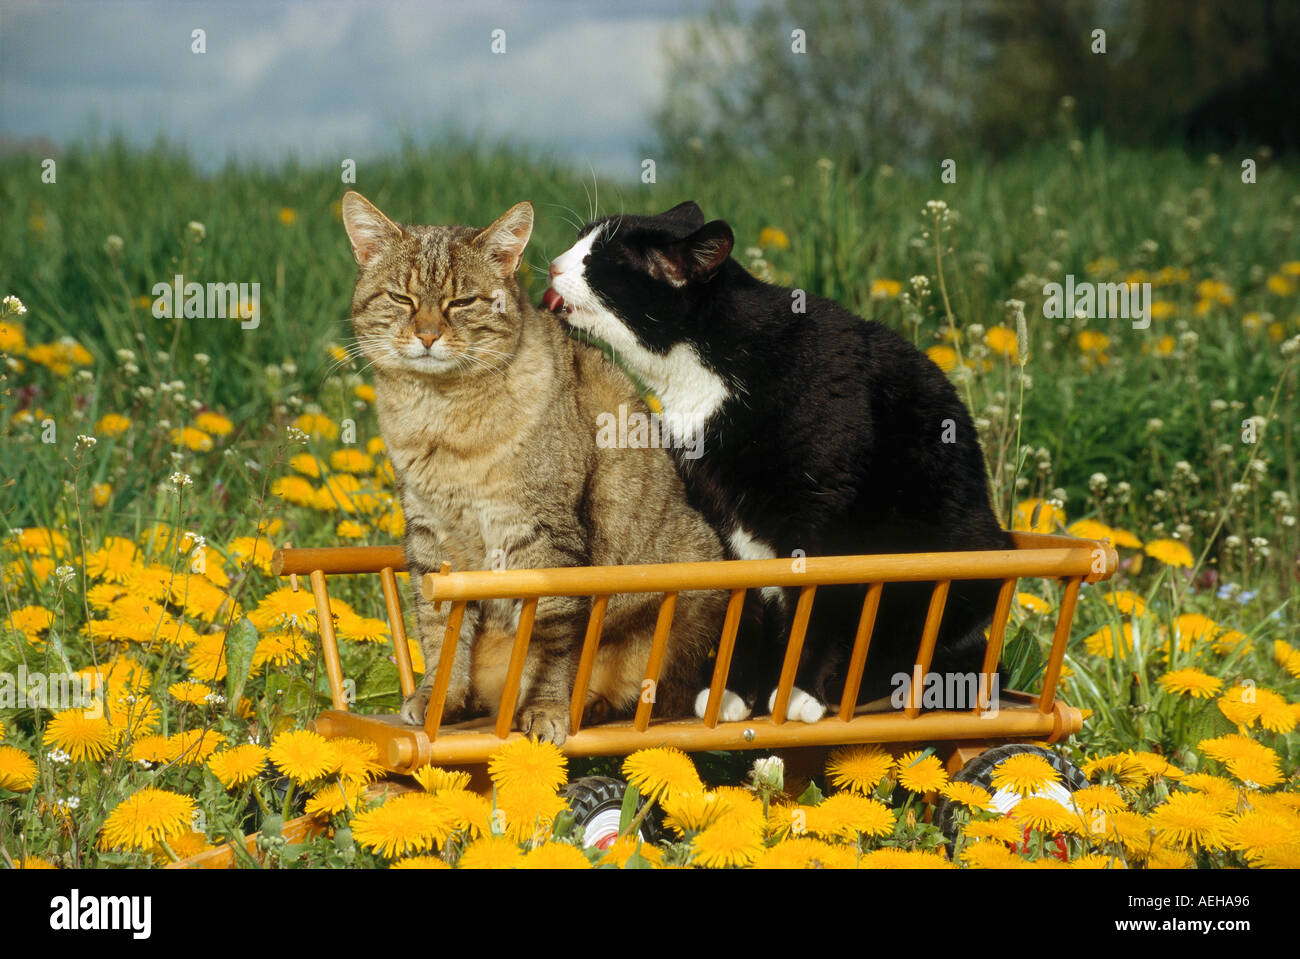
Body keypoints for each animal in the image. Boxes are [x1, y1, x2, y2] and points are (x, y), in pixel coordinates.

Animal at [340, 191, 728, 743]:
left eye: (462, 302)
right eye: (402, 298)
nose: (428, 336)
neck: (443, 417)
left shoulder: (545, 535)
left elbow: (551, 635)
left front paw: (545, 707)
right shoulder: (429, 535)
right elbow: (440, 630)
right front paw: (440, 697)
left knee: (653, 693)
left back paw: (589, 704)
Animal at [543, 204, 1008, 722]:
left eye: (601, 261)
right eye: (580, 240)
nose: (554, 265)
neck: (712, 369)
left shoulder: (828, 522)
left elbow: (822, 607)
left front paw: (800, 690)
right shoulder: (724, 521)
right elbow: (747, 606)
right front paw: (736, 690)